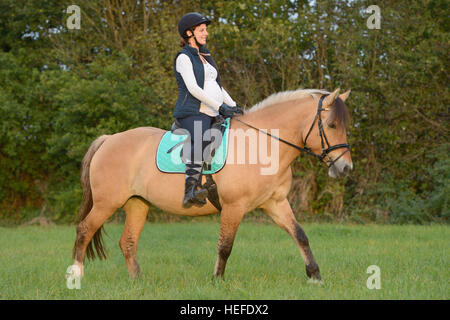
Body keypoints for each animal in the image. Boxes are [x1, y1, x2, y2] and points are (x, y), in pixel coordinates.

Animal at [71, 87, 352, 280]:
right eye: (331, 125)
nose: (345, 168)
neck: (262, 144)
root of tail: (109, 139)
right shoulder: (234, 207)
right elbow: (225, 246)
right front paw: (217, 279)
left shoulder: (275, 203)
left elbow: (300, 235)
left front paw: (315, 275)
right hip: (107, 202)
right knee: (85, 229)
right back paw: (75, 275)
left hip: (137, 204)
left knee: (127, 242)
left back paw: (138, 281)